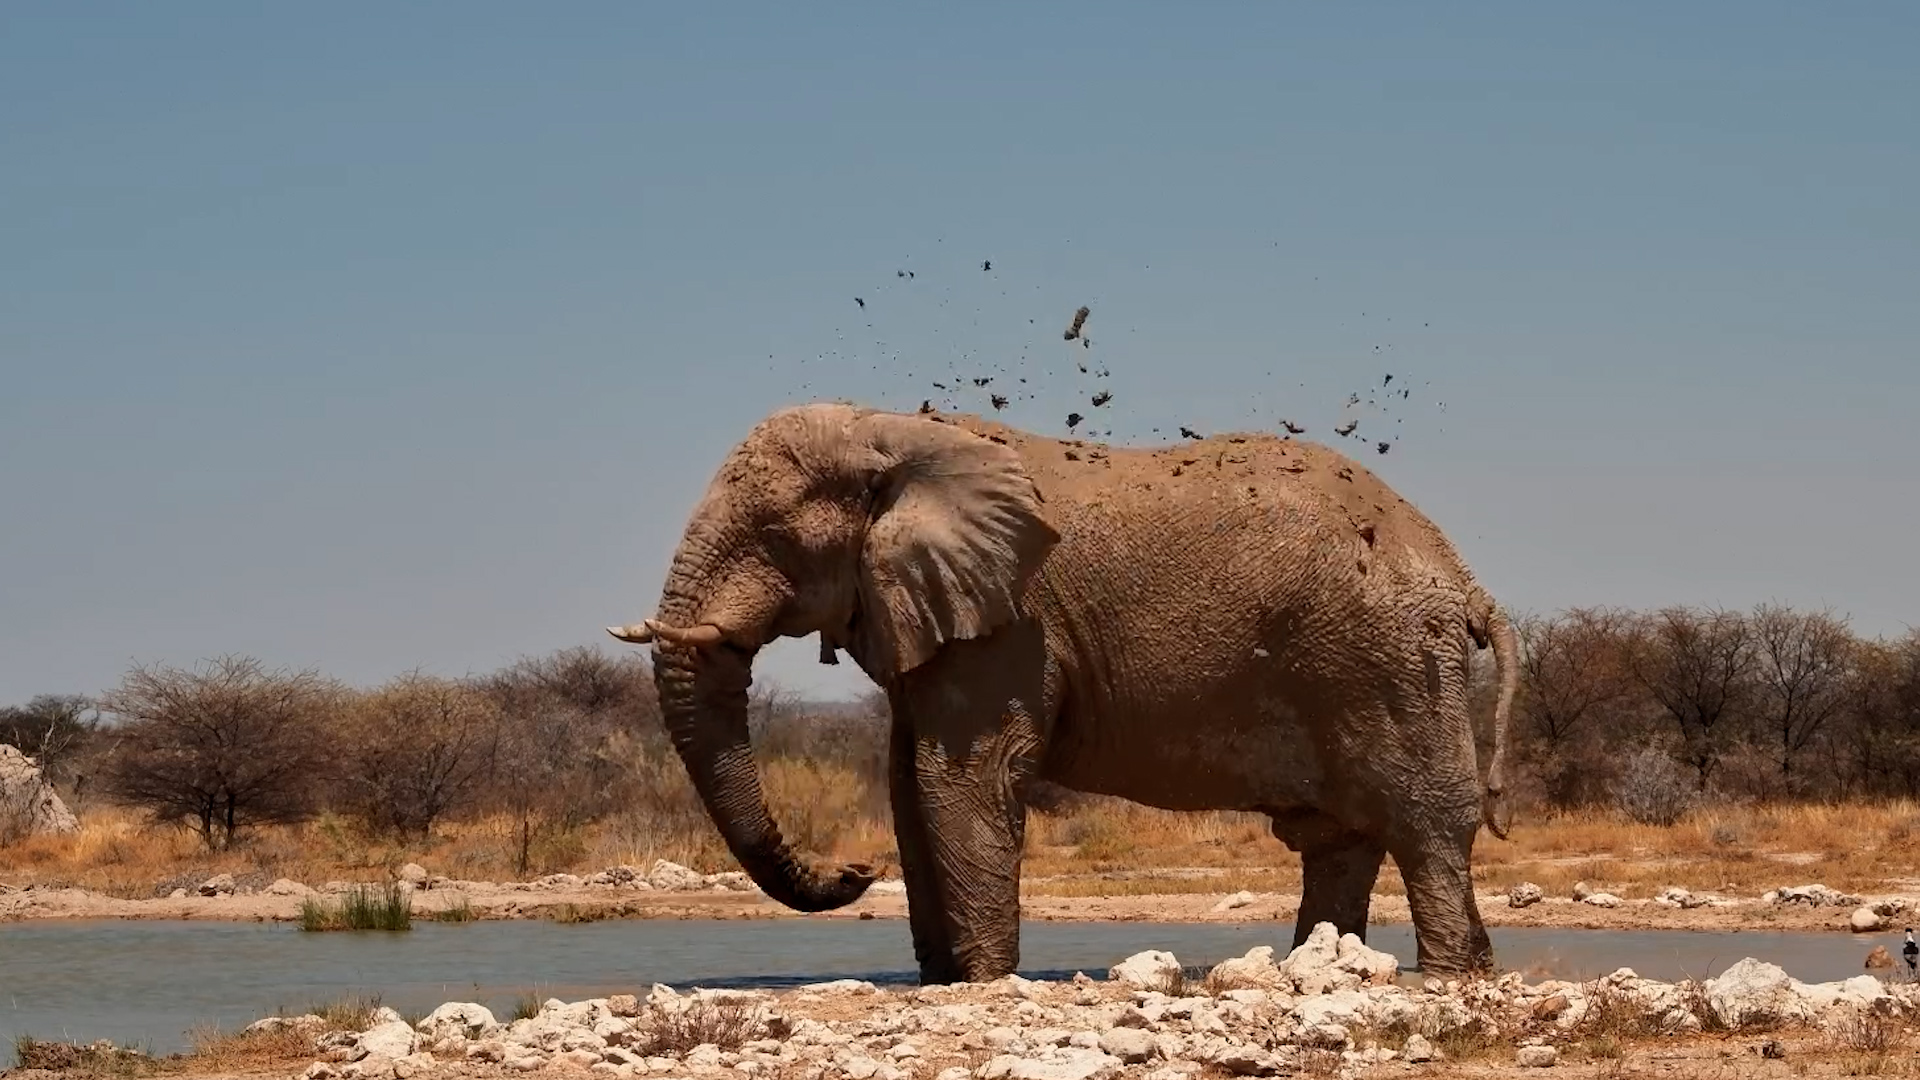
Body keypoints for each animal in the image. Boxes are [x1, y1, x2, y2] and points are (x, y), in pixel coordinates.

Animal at [607, 401, 1516, 984]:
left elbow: (963, 778)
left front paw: (982, 983)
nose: (855, 870)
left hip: (1390, 662)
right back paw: (1331, 964)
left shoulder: (1012, 620)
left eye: (771, 536)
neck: (893, 432)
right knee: (1341, 838)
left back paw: (1443, 977)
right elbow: (908, 783)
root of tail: (1465, 580)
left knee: (1423, 826)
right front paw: (943, 983)